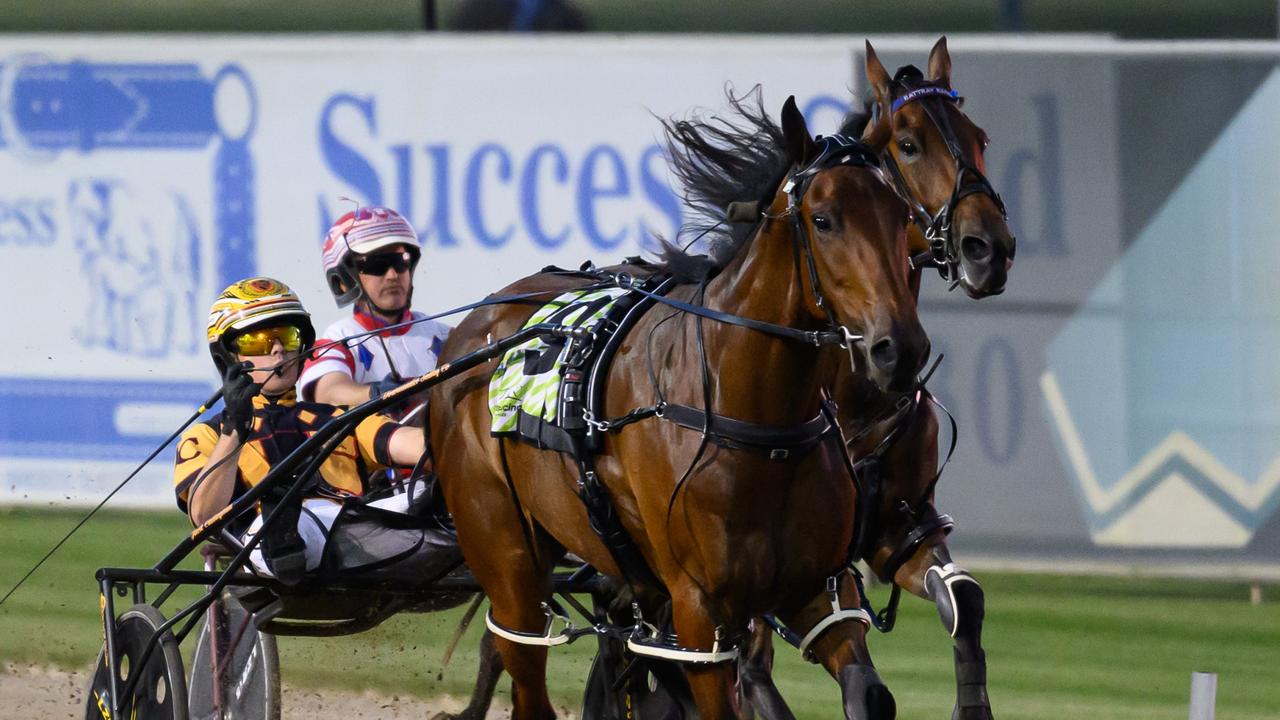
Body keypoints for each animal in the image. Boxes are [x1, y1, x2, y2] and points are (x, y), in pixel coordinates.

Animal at [432, 95, 931, 717]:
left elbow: (868, 692)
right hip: (507, 558)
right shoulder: (701, 616)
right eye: (824, 219)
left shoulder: (818, 589)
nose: (900, 348)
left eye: (901, 216)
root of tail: (470, 330)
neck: (759, 425)